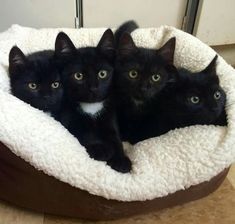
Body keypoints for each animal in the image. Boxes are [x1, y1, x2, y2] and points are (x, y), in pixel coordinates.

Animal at [55, 29, 132, 173]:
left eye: (102, 74)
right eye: (78, 76)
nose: (93, 88)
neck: (92, 107)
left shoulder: (110, 117)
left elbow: (115, 139)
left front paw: (120, 160)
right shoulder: (68, 121)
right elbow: (83, 134)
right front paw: (100, 149)